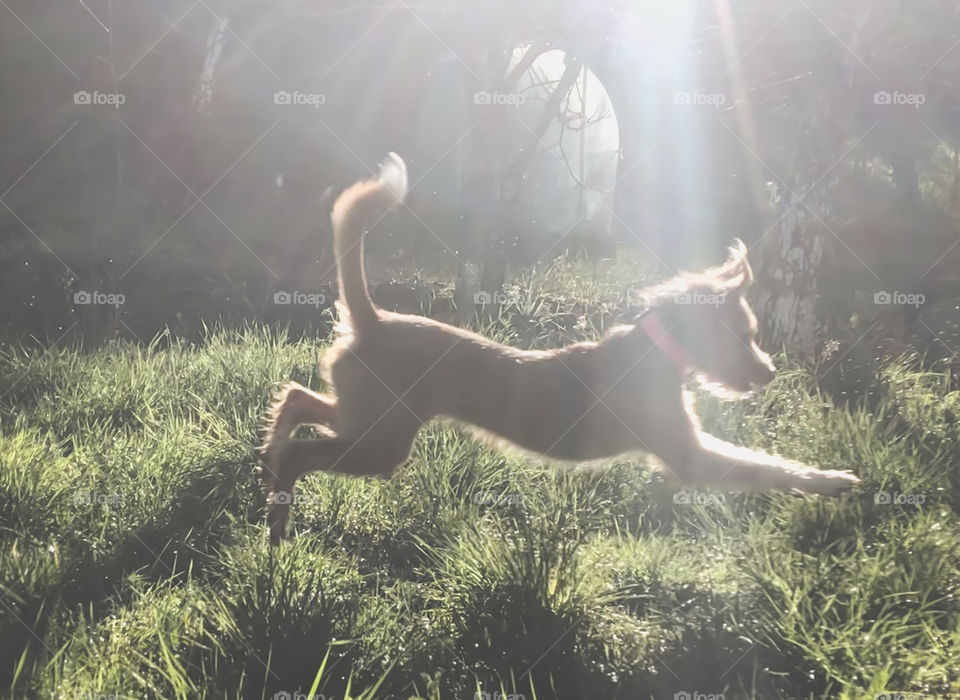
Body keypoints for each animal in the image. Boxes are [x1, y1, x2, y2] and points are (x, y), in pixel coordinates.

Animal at [258, 156, 860, 544]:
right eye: (743, 335)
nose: (769, 372)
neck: (657, 350)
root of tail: (373, 320)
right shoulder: (690, 455)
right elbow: (767, 466)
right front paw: (832, 480)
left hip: (368, 418)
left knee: (297, 399)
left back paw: (268, 457)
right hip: (381, 441)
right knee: (303, 450)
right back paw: (278, 522)